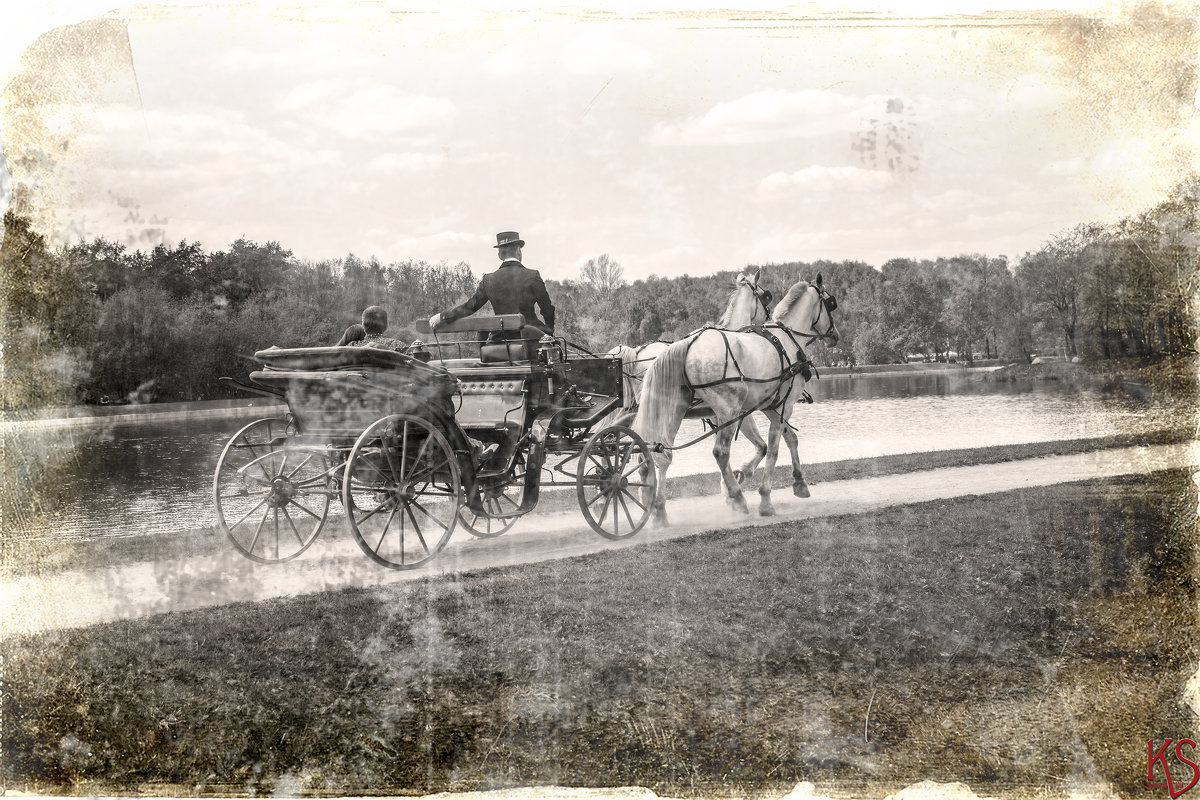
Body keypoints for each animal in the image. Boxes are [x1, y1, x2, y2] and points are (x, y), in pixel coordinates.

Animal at [633, 273, 840, 525]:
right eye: (831, 303)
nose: (835, 335)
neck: (786, 340)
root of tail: (687, 345)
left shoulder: (770, 406)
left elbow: (786, 440)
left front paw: (798, 482)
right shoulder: (782, 405)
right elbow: (773, 449)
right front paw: (763, 499)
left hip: (673, 409)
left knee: (659, 453)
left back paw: (658, 509)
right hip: (726, 408)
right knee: (720, 453)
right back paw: (736, 497)